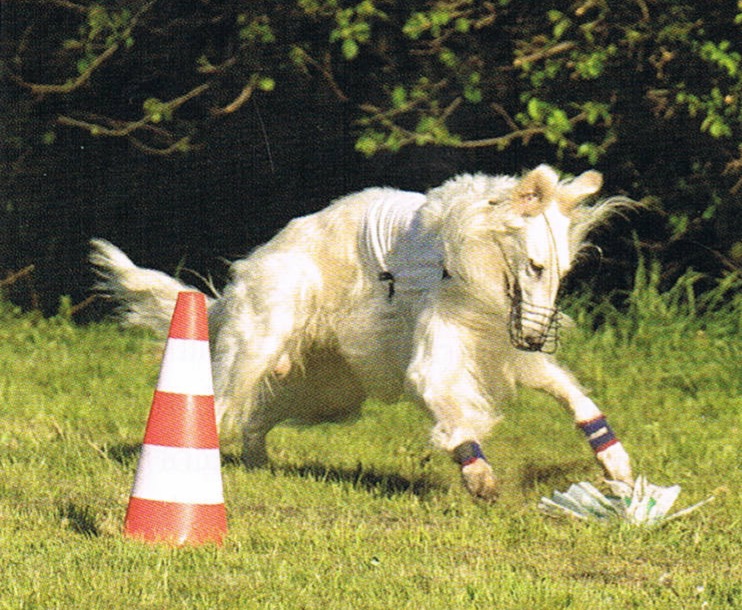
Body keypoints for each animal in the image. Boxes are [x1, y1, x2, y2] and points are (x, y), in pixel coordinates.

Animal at [90, 164, 635, 500]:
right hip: (259, 343)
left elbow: (575, 398)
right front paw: (477, 474)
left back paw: (258, 461)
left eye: (564, 272)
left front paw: (618, 466)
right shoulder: (435, 357)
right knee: (221, 407)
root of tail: (246, 272)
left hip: (330, 389)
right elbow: (454, 414)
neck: (465, 252)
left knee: (255, 420)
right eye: (536, 265)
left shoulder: (501, 350)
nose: (537, 338)